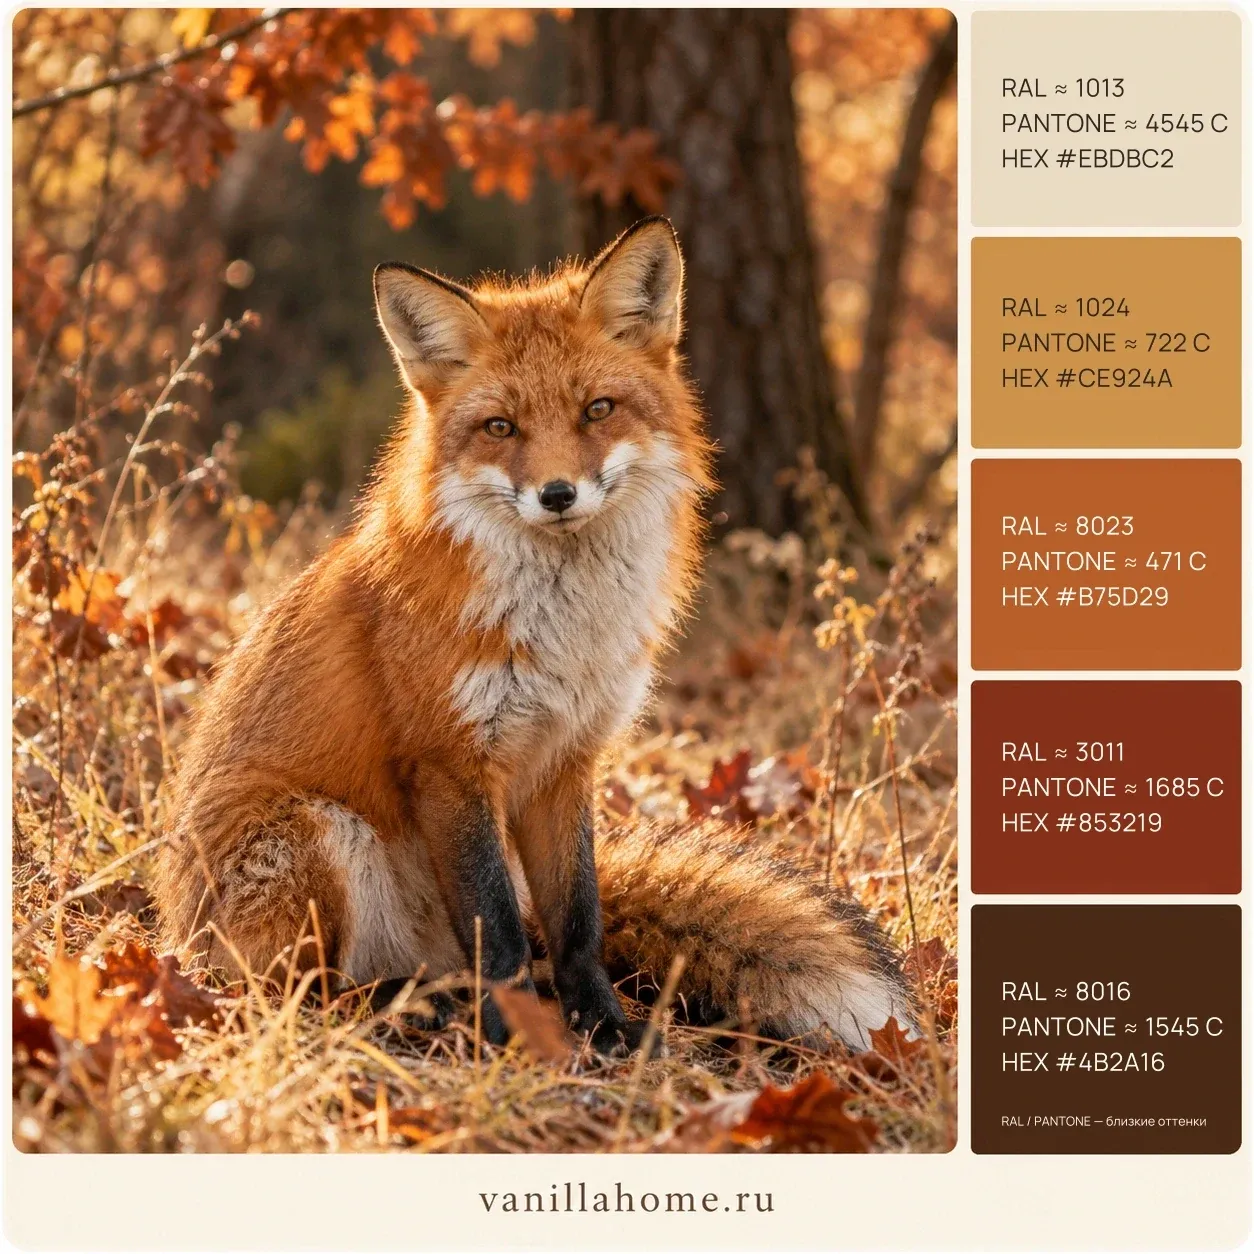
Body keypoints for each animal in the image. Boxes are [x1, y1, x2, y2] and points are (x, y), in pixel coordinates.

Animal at [154, 217, 915, 1054]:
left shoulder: (567, 759)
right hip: (318, 832)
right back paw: (406, 1007)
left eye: (597, 410)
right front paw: (514, 1037)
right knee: (292, 995)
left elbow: (578, 920)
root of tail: (174, 934)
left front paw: (605, 1026)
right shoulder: (451, 765)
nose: (556, 494)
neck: (565, 634)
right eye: (501, 428)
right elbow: (500, 932)